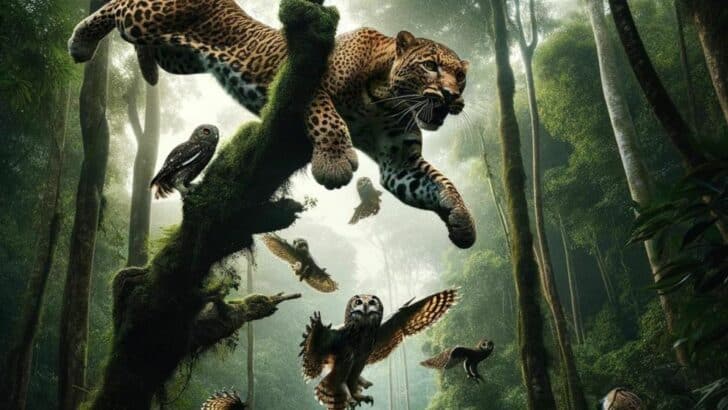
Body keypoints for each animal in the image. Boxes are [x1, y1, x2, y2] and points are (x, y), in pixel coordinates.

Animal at [67, 0, 476, 248]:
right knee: (117, 8)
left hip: (176, 56)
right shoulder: (307, 82)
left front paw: (463, 221)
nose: (453, 97)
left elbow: (441, 183)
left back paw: (145, 68)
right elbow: (328, 118)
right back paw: (80, 42)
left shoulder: (399, 162)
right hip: (146, 19)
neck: (389, 100)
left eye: (460, 76)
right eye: (430, 66)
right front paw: (333, 162)